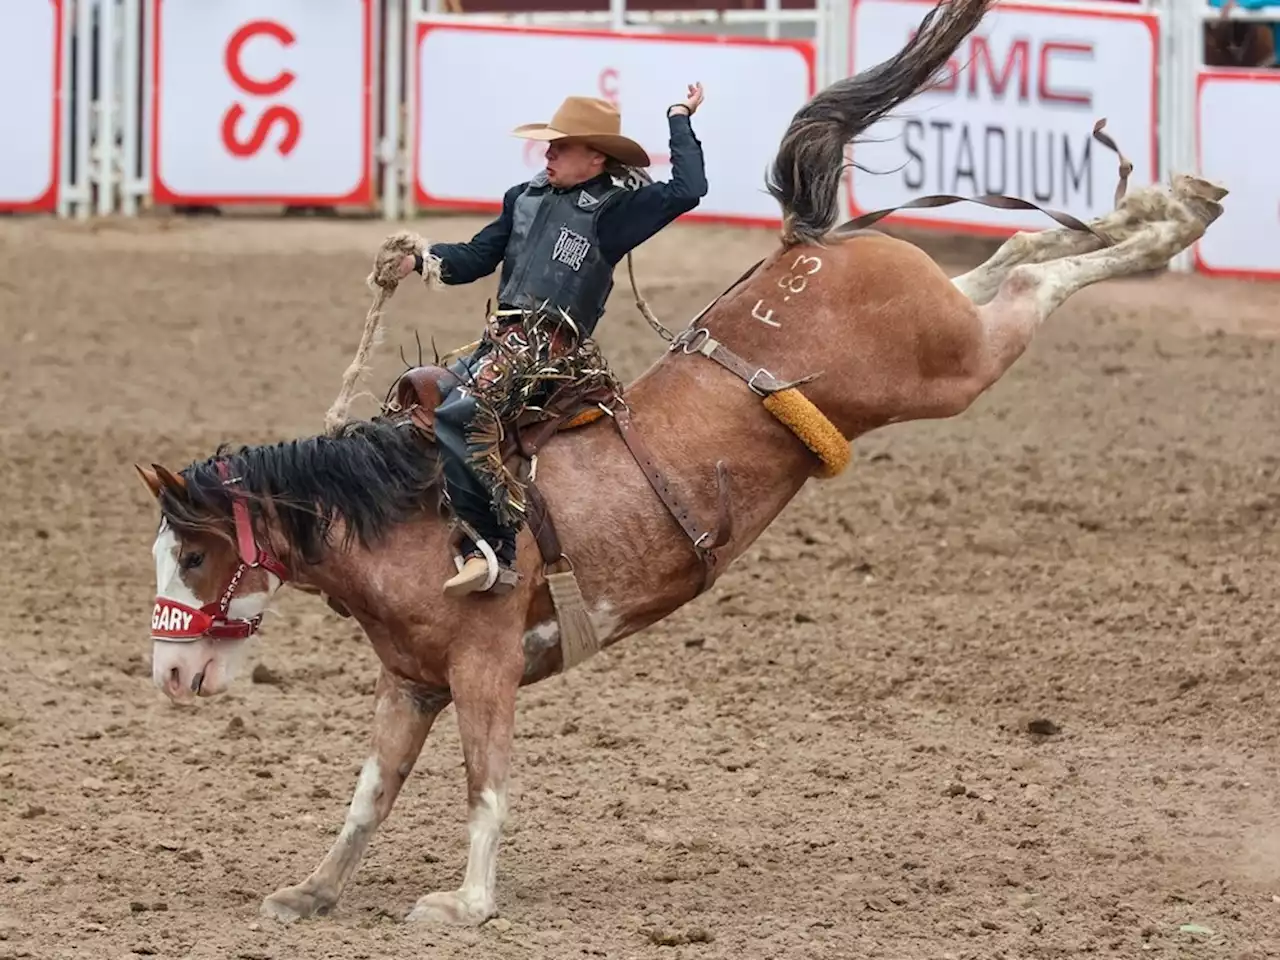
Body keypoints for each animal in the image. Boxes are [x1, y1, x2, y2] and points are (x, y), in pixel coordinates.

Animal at [135, 0, 1223, 931]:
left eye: (190, 557)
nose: (173, 675)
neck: (415, 515)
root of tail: (802, 247)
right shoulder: (410, 684)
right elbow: (369, 793)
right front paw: (311, 890)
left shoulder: (483, 668)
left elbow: (486, 784)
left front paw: (466, 903)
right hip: (940, 328)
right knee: (1004, 263)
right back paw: (1155, 204)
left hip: (948, 369)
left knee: (1039, 283)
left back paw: (1173, 214)